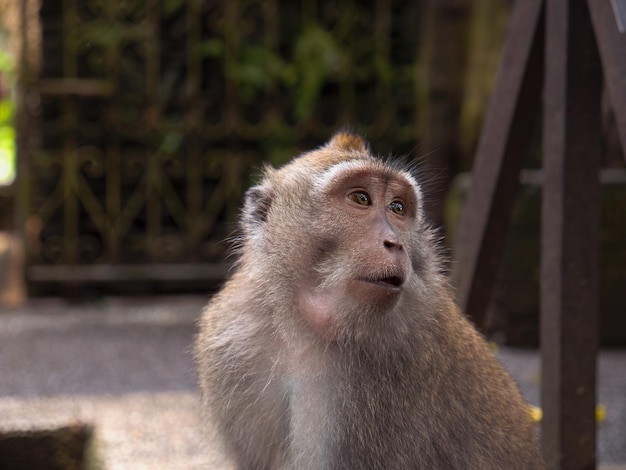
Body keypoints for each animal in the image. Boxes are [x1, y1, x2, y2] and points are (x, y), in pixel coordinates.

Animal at [194, 132, 540, 470]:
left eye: (398, 208)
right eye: (361, 198)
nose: (395, 243)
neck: (300, 325)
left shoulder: (375, 384)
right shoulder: (232, 338)